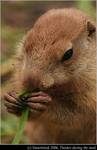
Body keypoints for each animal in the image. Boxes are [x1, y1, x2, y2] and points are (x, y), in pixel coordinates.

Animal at [4, 8, 96, 144]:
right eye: (25, 44)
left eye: (68, 53)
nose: (31, 82)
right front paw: (11, 99)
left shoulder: (92, 91)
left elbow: (80, 114)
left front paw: (44, 105)